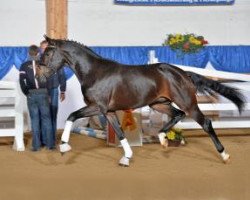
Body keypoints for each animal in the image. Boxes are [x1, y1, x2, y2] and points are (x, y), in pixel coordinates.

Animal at [38, 35, 245, 166]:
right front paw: (126, 158)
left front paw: (64, 146)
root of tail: (183, 73)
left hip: (188, 103)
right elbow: (120, 133)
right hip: (159, 103)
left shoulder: (97, 107)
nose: (40, 75)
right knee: (177, 115)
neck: (94, 72)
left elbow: (71, 116)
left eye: (48, 53)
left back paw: (224, 155)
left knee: (206, 123)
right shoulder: (109, 112)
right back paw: (162, 139)